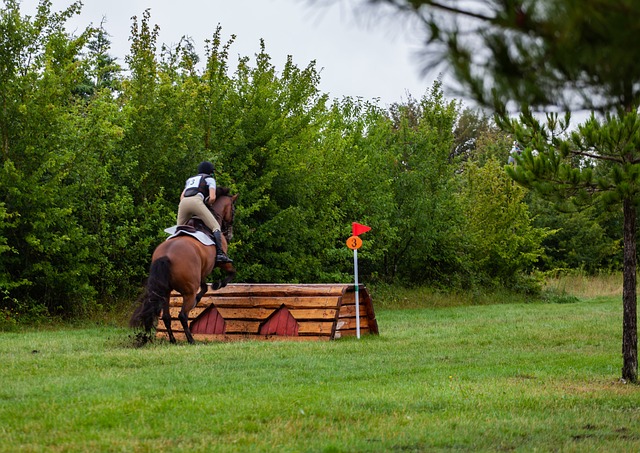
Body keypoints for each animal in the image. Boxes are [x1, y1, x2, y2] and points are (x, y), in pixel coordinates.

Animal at [129, 187, 238, 342]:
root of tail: (166, 255)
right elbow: (231, 272)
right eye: (233, 210)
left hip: (166, 292)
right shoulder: (221, 263)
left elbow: (205, 287)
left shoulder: (201, 272)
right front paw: (218, 285)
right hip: (188, 291)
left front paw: (201, 297)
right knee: (182, 315)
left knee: (167, 317)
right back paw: (191, 340)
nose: (229, 234)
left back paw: (173, 340)